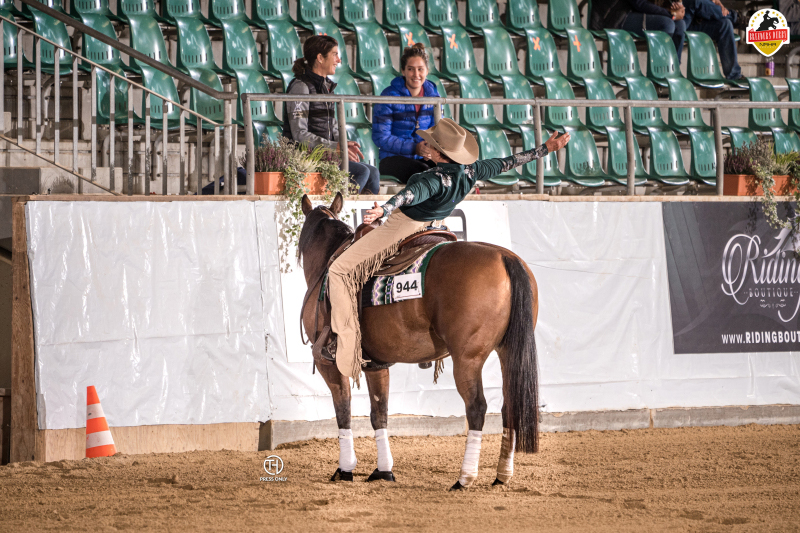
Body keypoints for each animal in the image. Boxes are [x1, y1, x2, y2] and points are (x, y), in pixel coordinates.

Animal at [296, 193, 540, 488]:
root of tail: (505, 257)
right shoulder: (376, 364)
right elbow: (379, 413)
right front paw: (384, 470)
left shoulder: (330, 363)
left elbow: (343, 410)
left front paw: (346, 468)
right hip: (508, 352)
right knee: (510, 405)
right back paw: (502, 475)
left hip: (467, 359)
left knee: (477, 407)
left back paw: (464, 478)